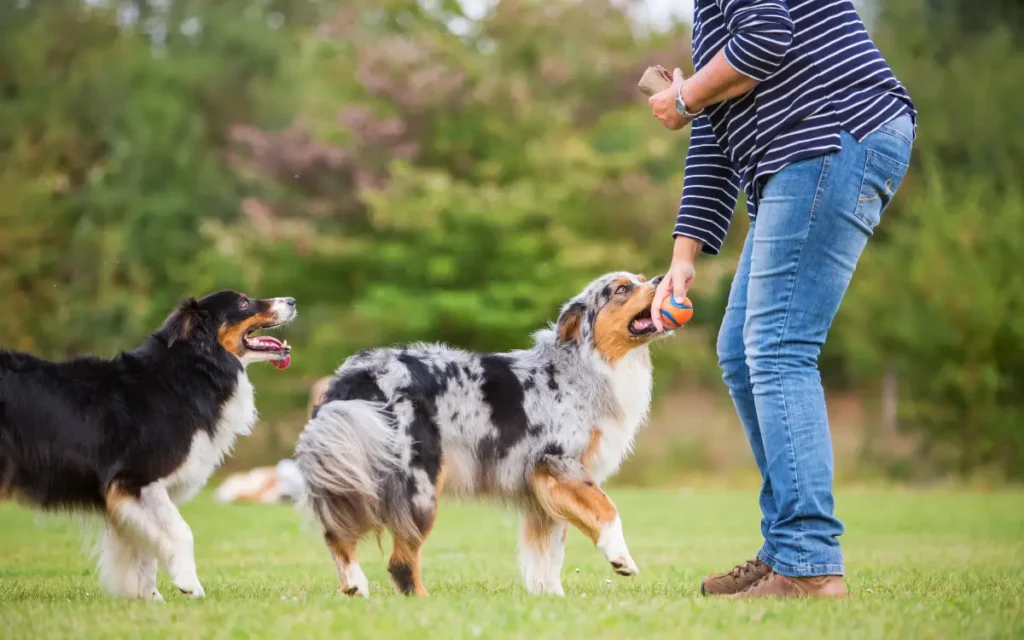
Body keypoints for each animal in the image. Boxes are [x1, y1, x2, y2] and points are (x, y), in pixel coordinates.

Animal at [0, 292, 296, 602]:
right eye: (243, 303)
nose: (292, 300)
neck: (194, 371)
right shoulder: (137, 479)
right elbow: (180, 532)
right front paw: (190, 586)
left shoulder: (132, 494)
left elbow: (143, 551)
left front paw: (149, 599)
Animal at [296, 270, 663, 593]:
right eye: (622, 289)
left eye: (642, 279)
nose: (661, 279)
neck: (585, 365)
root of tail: (358, 374)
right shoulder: (559, 461)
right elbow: (607, 509)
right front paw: (621, 559)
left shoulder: (543, 491)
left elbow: (547, 554)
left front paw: (550, 599)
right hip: (420, 484)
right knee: (400, 561)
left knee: (337, 533)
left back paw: (355, 585)